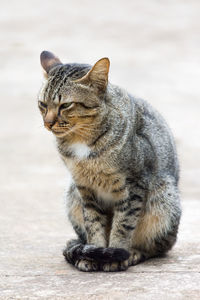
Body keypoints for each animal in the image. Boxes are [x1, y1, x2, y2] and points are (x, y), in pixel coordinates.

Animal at [37, 49, 181, 272]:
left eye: (66, 105)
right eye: (43, 104)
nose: (48, 123)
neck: (81, 141)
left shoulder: (134, 184)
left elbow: (123, 225)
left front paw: (115, 254)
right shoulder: (84, 188)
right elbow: (94, 224)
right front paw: (94, 253)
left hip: (163, 196)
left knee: (158, 246)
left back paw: (133, 253)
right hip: (72, 195)